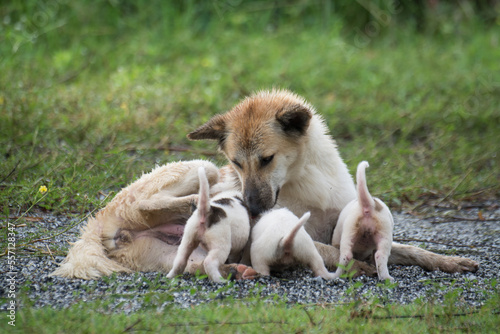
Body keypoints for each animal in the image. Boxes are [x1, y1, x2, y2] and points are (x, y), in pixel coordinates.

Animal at [52, 88, 478, 280]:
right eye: (236, 163)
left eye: (267, 159)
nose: (254, 209)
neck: (305, 180)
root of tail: (95, 228)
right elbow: (330, 250)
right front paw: (358, 266)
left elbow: (412, 250)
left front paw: (450, 261)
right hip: (200, 167)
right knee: (146, 204)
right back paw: (196, 204)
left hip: (180, 254)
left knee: (198, 264)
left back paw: (234, 267)